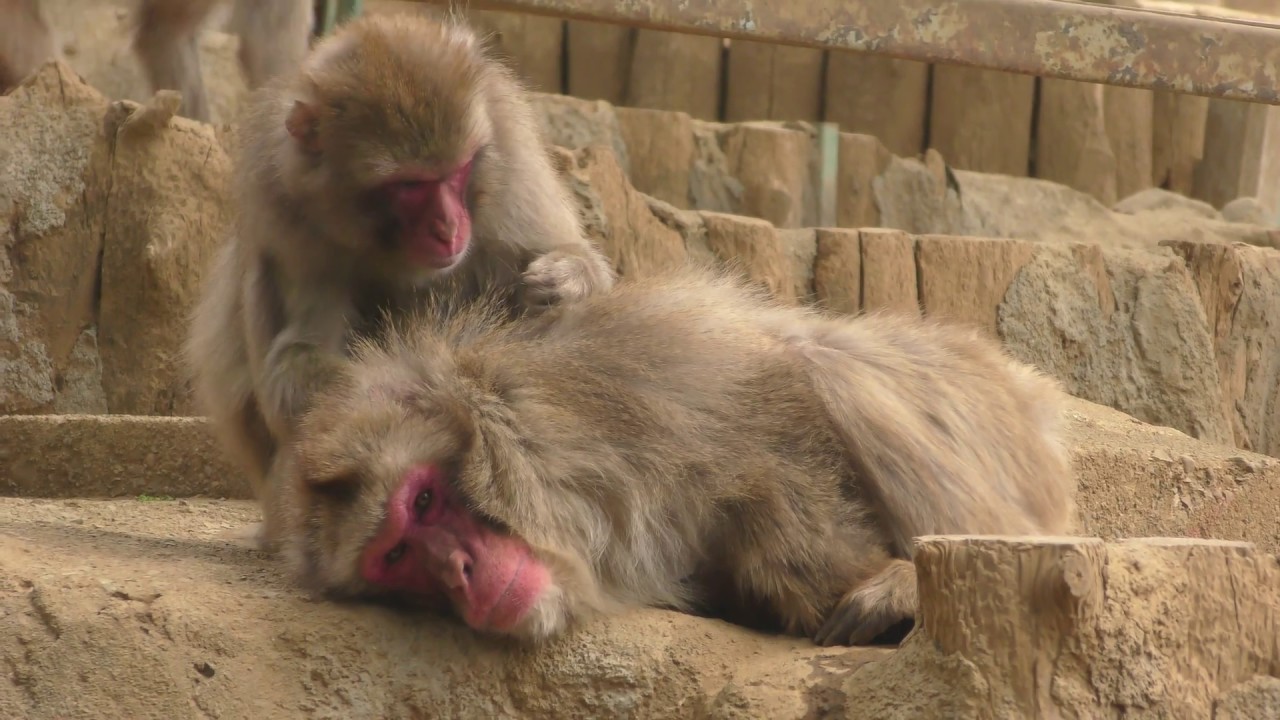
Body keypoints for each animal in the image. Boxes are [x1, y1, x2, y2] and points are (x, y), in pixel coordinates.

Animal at [185, 12, 617, 552]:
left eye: (458, 171)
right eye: (410, 185)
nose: (449, 228)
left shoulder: (509, 150)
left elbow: (566, 261)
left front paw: (564, 279)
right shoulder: (283, 209)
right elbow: (295, 363)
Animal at [277, 264, 1075, 647]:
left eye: (425, 499)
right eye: (398, 557)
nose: (457, 571)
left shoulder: (607, 402)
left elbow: (778, 404)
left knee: (830, 363)